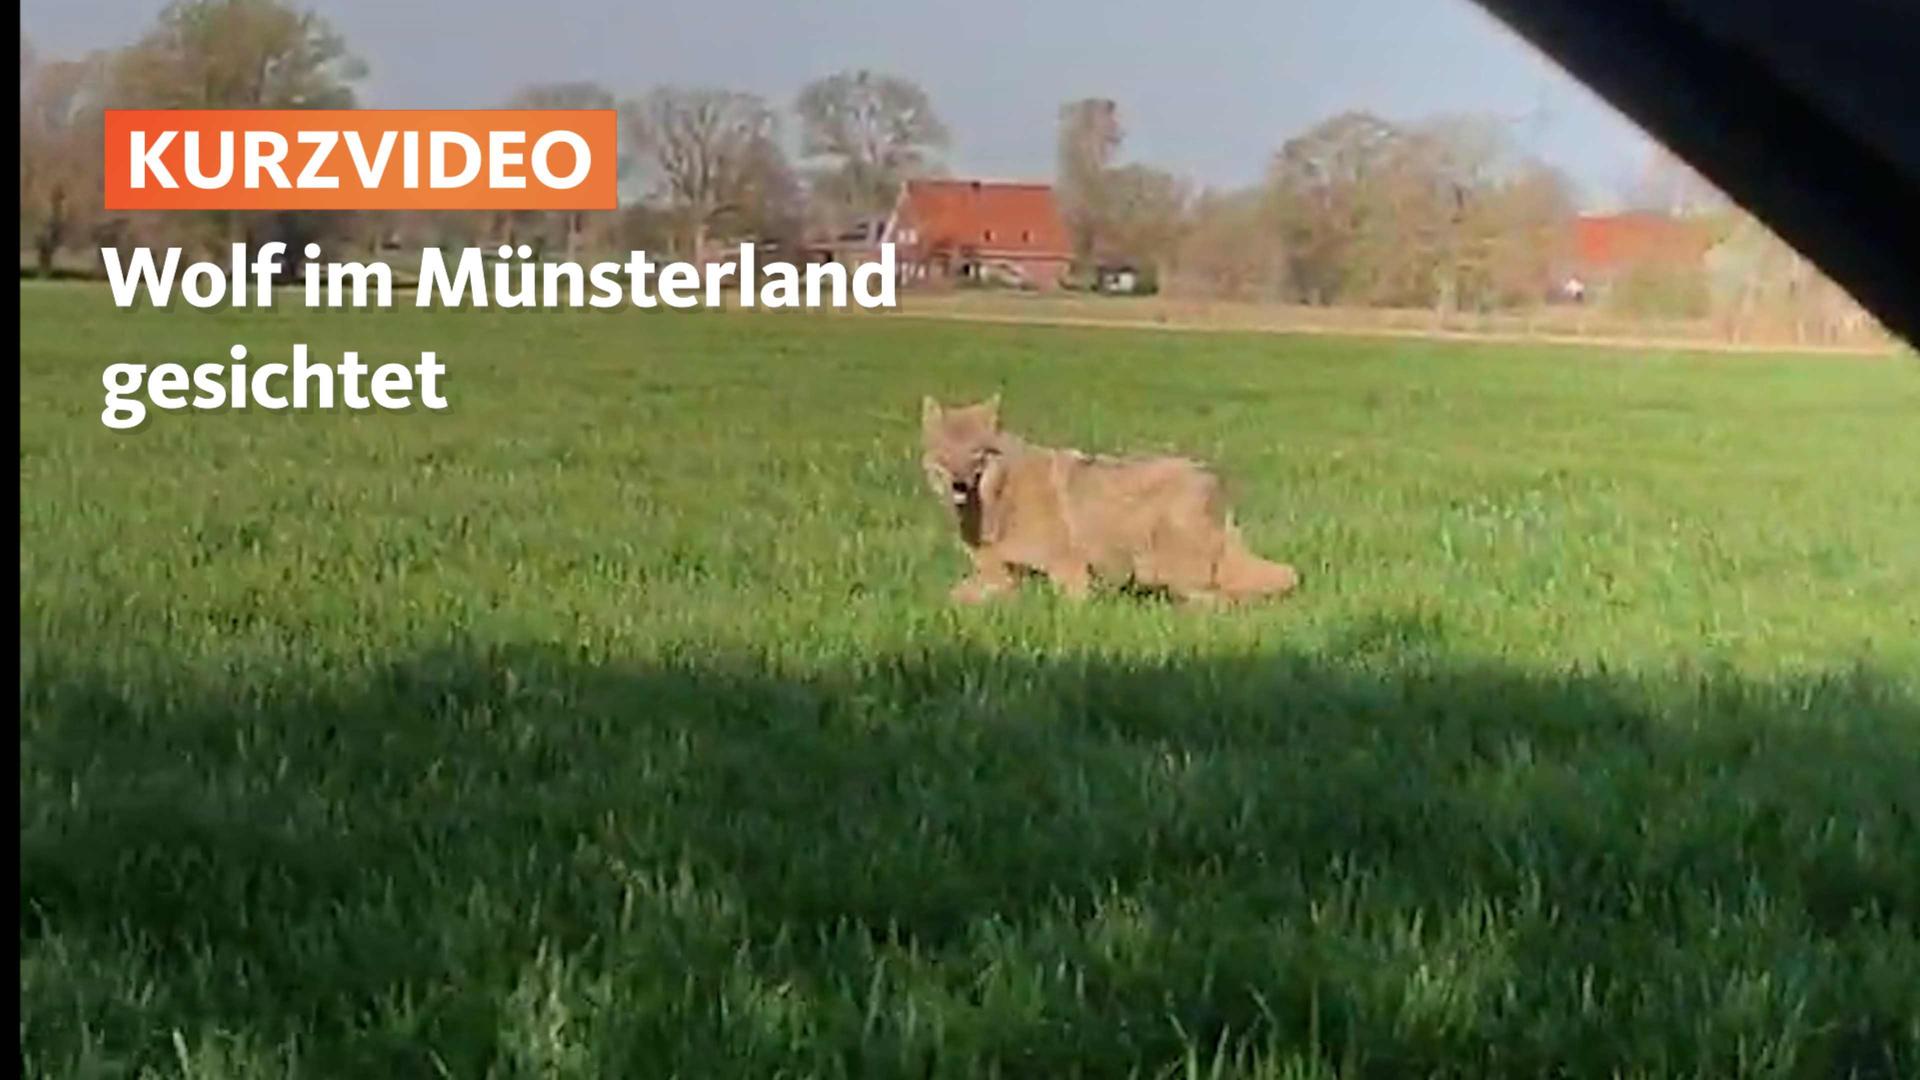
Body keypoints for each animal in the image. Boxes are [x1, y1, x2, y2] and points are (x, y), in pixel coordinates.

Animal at [920, 394, 1301, 606]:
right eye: (945, 452)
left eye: (976, 453)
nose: (958, 483)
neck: (998, 500)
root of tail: (1213, 479)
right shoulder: (1001, 575)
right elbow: (953, 597)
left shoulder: (1070, 573)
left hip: (1160, 566)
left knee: (1221, 597)